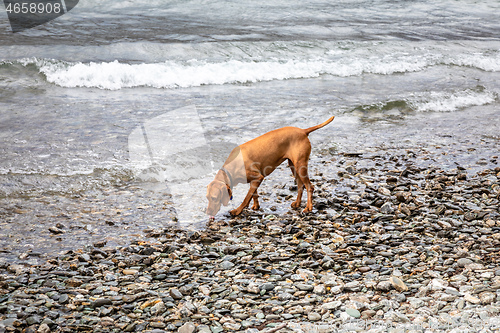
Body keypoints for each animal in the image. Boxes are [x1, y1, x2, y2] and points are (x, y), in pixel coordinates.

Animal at [205, 115, 334, 219]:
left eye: (214, 198)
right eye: (207, 198)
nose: (207, 213)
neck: (233, 166)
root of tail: (303, 131)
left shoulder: (258, 177)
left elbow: (247, 197)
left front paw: (237, 211)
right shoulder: (254, 180)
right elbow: (254, 194)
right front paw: (256, 206)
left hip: (300, 166)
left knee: (309, 186)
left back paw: (308, 208)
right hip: (293, 166)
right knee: (300, 185)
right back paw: (297, 203)